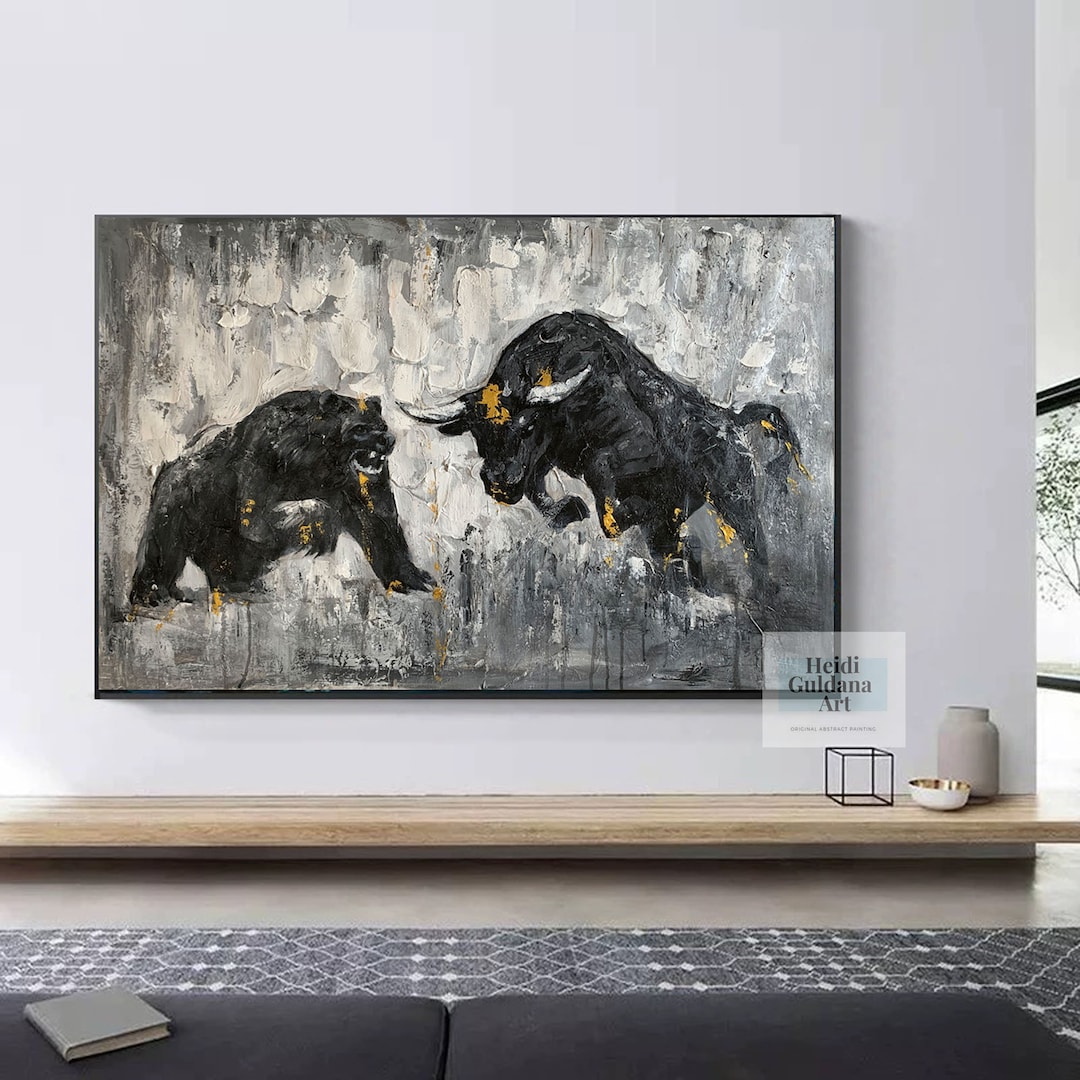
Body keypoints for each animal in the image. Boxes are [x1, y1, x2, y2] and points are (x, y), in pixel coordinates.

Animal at [402, 311, 807, 593]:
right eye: (477, 433)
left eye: (527, 424)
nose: (498, 482)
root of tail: (731, 420)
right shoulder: (546, 459)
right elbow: (538, 487)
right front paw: (569, 510)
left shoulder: (634, 451)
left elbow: (602, 481)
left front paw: (624, 510)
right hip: (678, 519)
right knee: (673, 554)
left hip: (735, 499)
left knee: (755, 548)